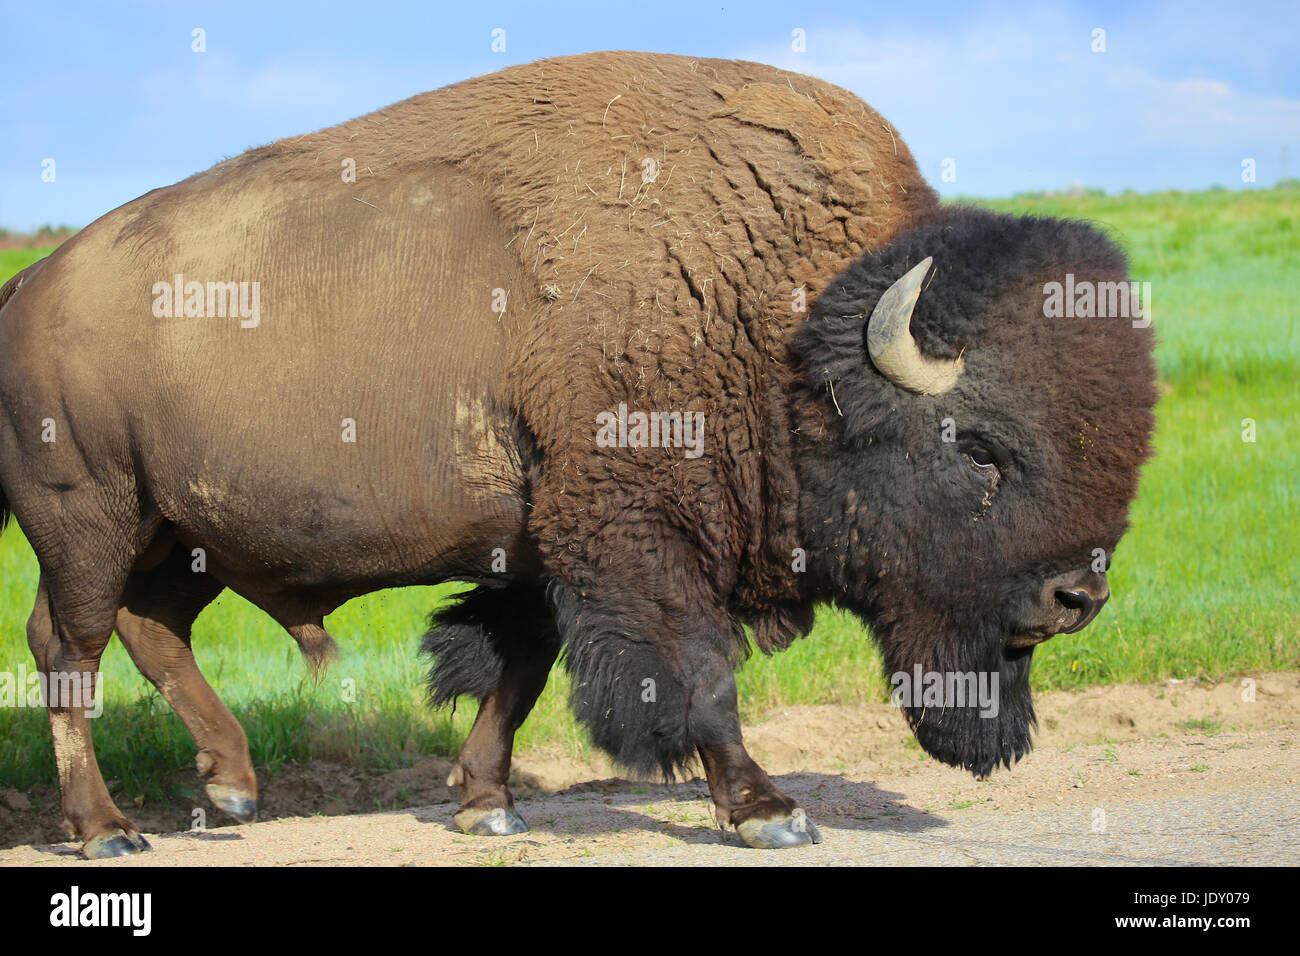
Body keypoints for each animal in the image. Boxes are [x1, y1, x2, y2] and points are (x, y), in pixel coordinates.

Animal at [0, 50, 1159, 858]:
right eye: (981, 449)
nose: (1079, 595)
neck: (775, 321)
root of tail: (30, 286)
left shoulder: (538, 544)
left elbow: (515, 669)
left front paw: (485, 807)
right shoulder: (634, 543)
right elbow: (696, 678)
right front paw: (771, 810)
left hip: (177, 531)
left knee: (151, 630)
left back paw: (232, 786)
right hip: (87, 518)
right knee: (69, 648)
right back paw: (106, 829)